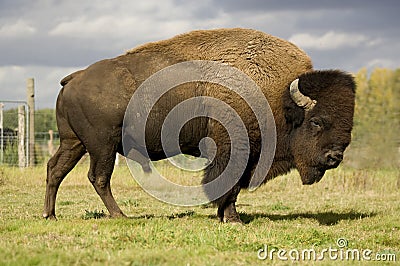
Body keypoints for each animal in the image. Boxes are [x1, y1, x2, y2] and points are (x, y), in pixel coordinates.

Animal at [44, 27, 356, 222]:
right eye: (316, 121)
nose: (335, 157)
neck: (279, 97)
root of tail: (75, 77)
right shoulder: (234, 150)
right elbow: (228, 186)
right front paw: (233, 219)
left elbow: (231, 187)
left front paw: (225, 217)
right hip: (102, 146)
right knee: (98, 177)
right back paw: (119, 215)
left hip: (74, 142)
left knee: (56, 169)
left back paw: (50, 214)